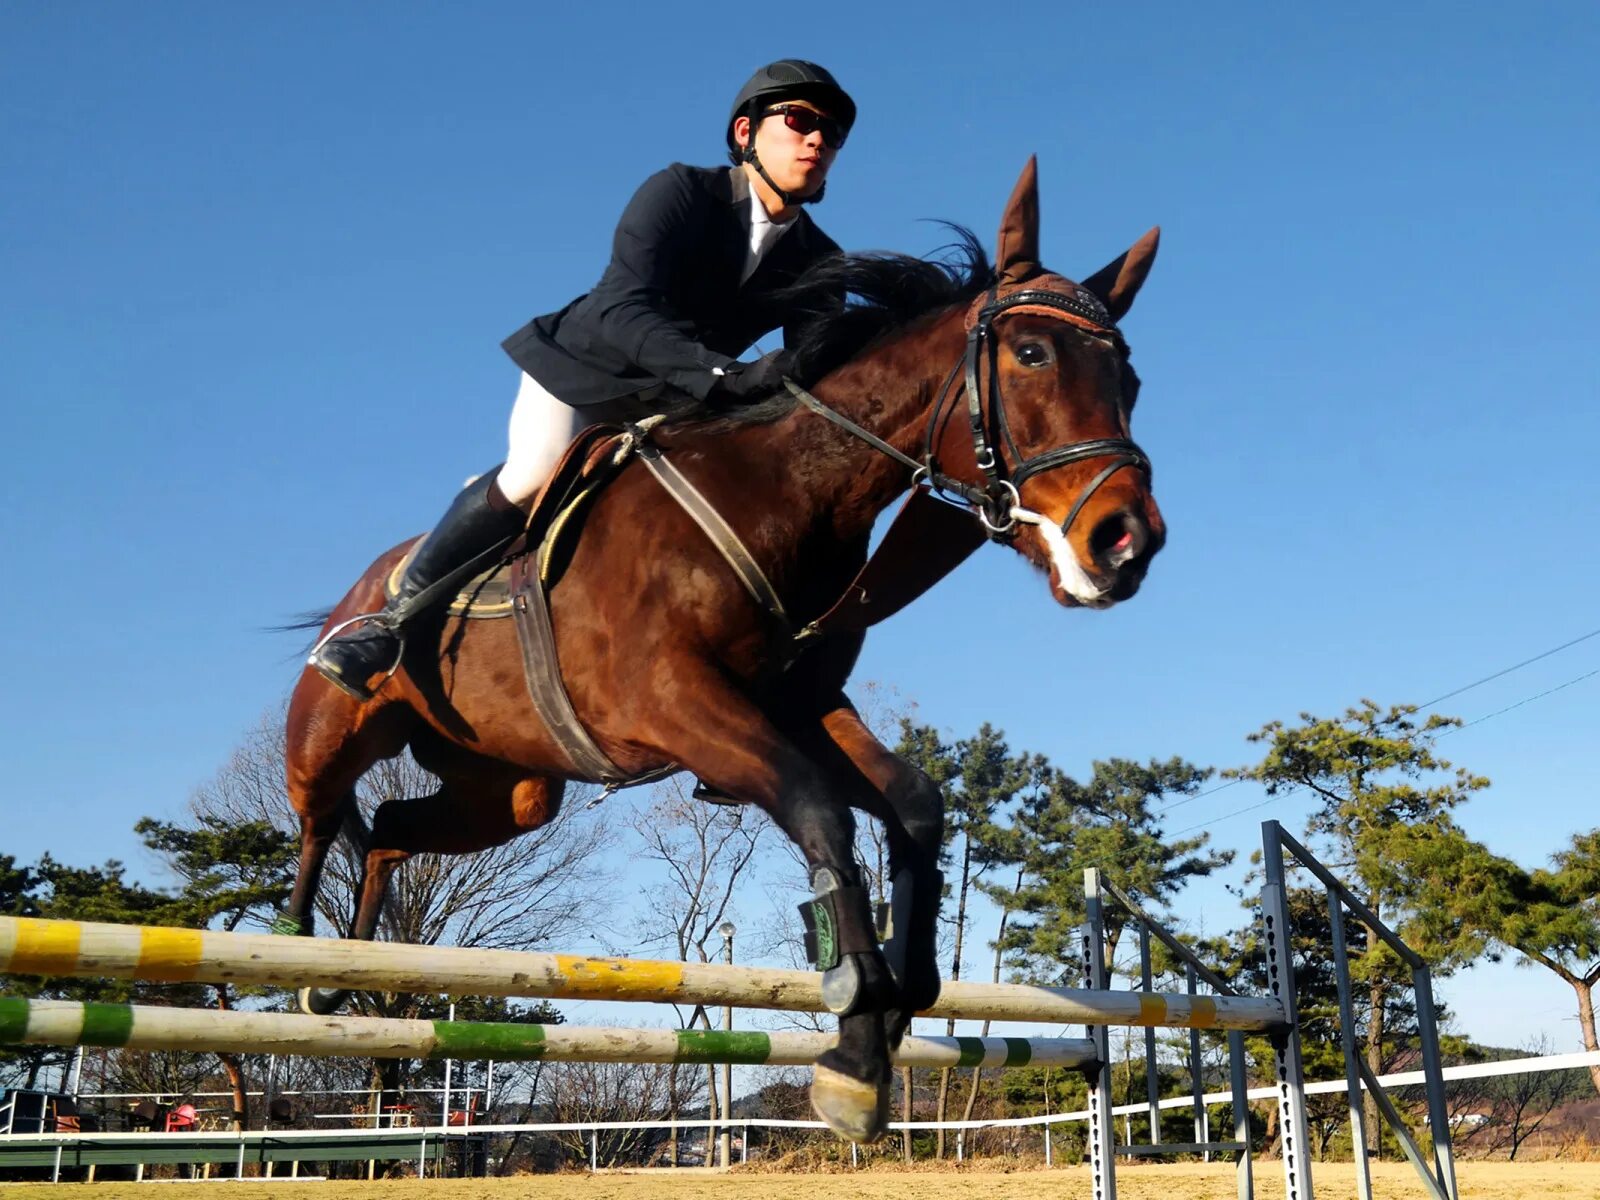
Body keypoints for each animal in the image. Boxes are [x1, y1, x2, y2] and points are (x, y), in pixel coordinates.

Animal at [281, 160, 1164, 1145]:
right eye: (1033, 355)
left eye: (1128, 375)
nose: (1127, 544)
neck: (790, 488)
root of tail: (364, 582)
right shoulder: (674, 702)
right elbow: (822, 810)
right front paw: (857, 1029)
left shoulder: (798, 706)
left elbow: (913, 804)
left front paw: (897, 1007)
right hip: (332, 735)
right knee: (321, 818)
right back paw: (298, 954)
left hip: (508, 794)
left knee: (395, 831)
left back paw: (344, 978)